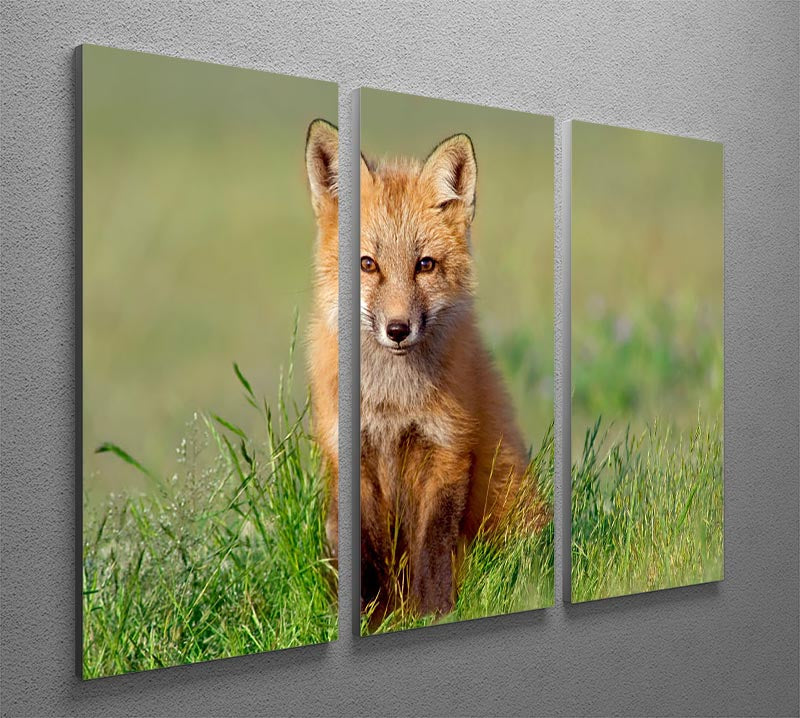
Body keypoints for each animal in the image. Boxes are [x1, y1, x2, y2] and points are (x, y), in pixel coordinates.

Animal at [305, 119, 548, 618]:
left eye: (425, 265)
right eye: (367, 264)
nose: (398, 329)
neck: (393, 403)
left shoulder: (448, 447)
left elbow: (432, 546)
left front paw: (433, 613)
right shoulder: (352, 453)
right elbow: (369, 554)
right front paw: (375, 617)